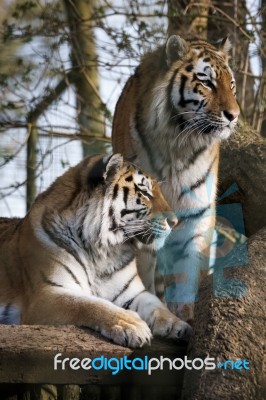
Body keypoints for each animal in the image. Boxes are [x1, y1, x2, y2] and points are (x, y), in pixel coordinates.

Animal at [0, 153, 191, 346]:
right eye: (145, 193)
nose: (175, 222)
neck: (103, 251)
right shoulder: (46, 294)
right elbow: (89, 304)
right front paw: (131, 324)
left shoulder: (133, 293)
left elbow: (156, 304)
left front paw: (178, 325)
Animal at [112, 35, 239, 322]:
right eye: (207, 83)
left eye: (232, 85)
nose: (234, 116)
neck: (179, 142)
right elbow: (142, 270)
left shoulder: (197, 211)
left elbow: (188, 269)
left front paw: (185, 311)